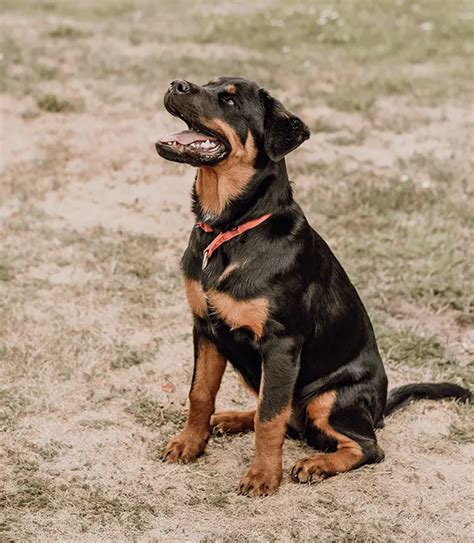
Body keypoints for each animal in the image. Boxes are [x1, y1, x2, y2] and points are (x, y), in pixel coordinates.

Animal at [156, 75, 470, 498]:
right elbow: (200, 394)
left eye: (230, 100)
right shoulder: (204, 327)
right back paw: (233, 419)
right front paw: (190, 444)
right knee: (288, 418)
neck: (230, 228)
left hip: (328, 398)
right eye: (207, 83)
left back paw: (317, 463)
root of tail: (379, 408)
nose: (177, 83)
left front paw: (262, 476)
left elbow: (270, 417)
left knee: (365, 445)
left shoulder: (282, 344)